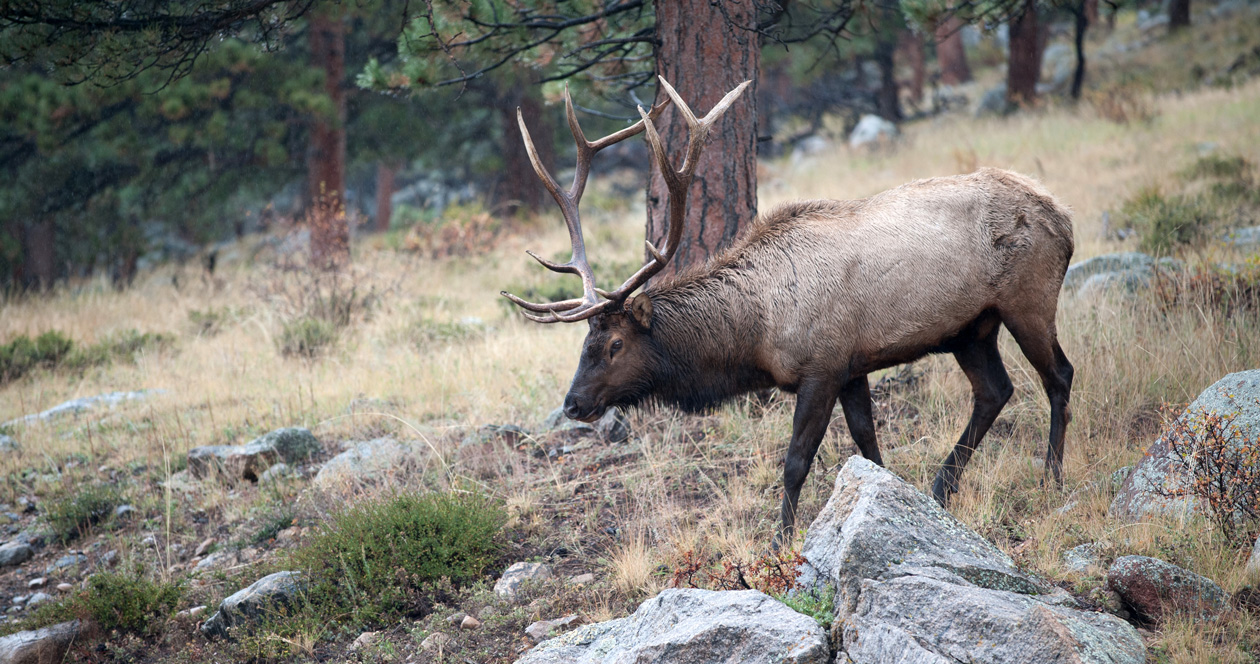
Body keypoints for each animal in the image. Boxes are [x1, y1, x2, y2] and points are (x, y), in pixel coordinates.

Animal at [501, 79, 1073, 546]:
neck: (756, 332)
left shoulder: (821, 367)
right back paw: (942, 485)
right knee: (995, 390)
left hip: (1028, 299)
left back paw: (1051, 478)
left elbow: (796, 462)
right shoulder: (852, 366)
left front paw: (781, 540)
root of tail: (1064, 219)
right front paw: (893, 501)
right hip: (971, 328)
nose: (573, 403)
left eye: (615, 344)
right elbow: (867, 444)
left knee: (1058, 376)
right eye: (585, 343)